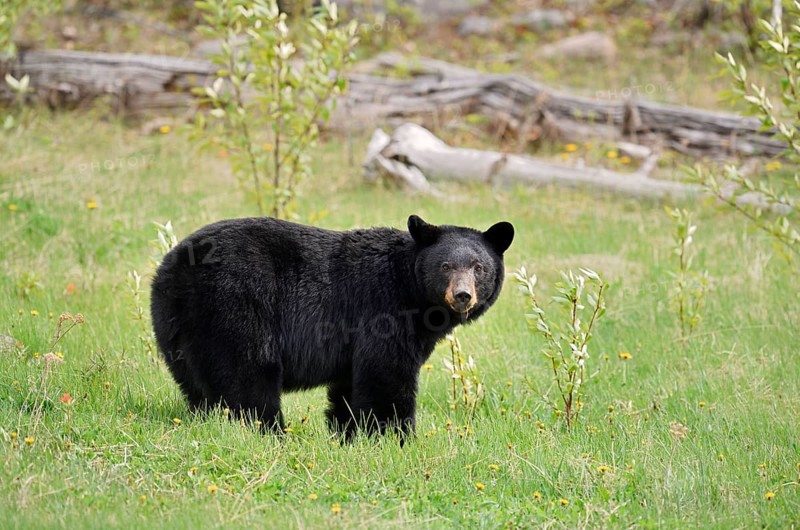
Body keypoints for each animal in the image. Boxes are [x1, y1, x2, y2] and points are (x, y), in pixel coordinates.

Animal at [150, 214, 514, 439]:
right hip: (234, 303)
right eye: (446, 265)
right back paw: (270, 431)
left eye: (479, 267)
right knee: (247, 374)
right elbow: (386, 373)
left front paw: (349, 434)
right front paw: (398, 436)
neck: (409, 287)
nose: (463, 295)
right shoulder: (382, 311)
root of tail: (175, 265)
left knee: (197, 382)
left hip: (178, 326)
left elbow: (350, 386)